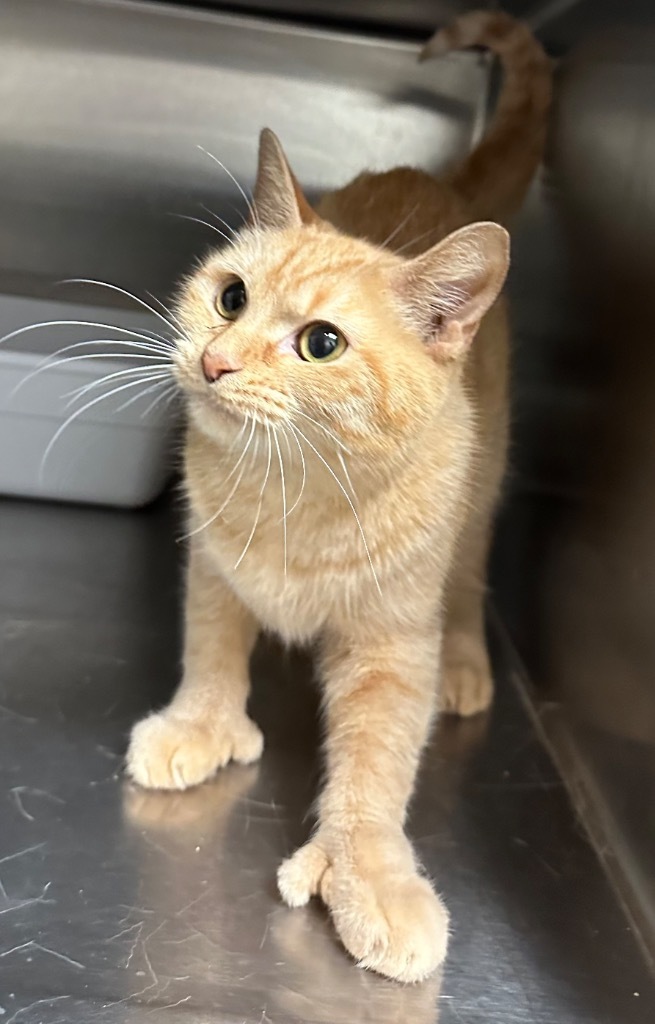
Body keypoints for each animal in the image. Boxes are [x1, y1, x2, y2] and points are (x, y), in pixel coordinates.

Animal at [126, 9, 548, 983]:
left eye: (321, 343)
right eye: (229, 297)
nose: (215, 361)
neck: (295, 500)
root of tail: (436, 178)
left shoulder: (389, 645)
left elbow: (376, 763)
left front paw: (366, 873)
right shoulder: (214, 571)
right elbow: (209, 655)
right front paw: (200, 725)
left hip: (481, 499)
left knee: (468, 582)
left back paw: (465, 662)